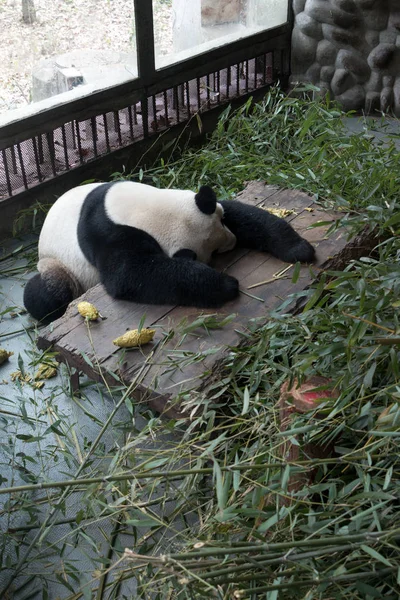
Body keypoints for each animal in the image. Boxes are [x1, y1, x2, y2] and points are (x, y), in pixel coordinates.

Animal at [23, 180, 316, 326]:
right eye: (214, 252)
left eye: (223, 223)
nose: (232, 243)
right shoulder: (107, 234)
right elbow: (130, 274)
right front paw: (225, 284)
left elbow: (243, 213)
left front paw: (299, 248)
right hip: (58, 262)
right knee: (47, 294)